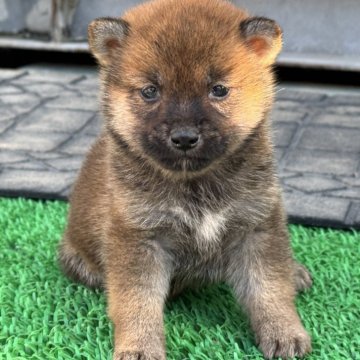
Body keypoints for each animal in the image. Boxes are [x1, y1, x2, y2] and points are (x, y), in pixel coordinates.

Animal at [59, 1, 312, 358]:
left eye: (218, 89)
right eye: (150, 91)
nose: (184, 137)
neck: (195, 183)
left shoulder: (257, 225)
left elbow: (270, 288)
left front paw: (284, 331)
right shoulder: (138, 237)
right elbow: (136, 301)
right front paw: (138, 346)